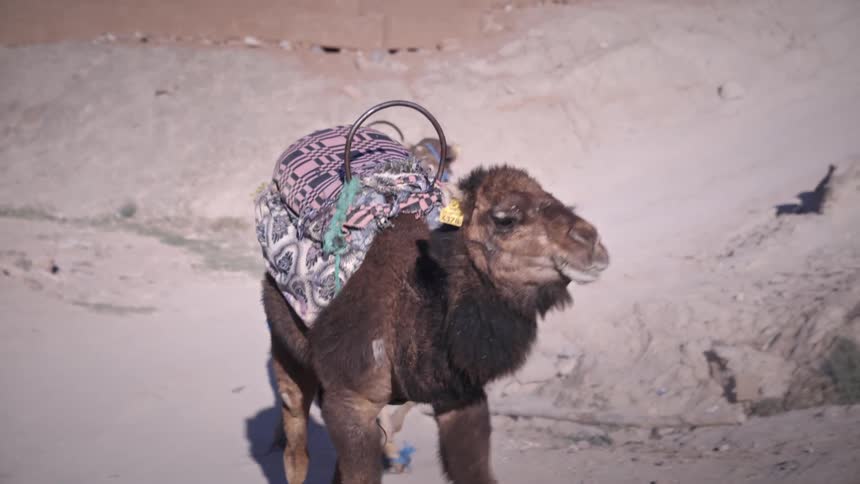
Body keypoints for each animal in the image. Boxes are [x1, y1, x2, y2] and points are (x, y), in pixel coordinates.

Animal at [262, 164, 609, 484]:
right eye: (505, 219)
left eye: (550, 196)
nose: (592, 242)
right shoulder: (351, 400)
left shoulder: (459, 393)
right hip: (287, 350)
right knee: (296, 445)